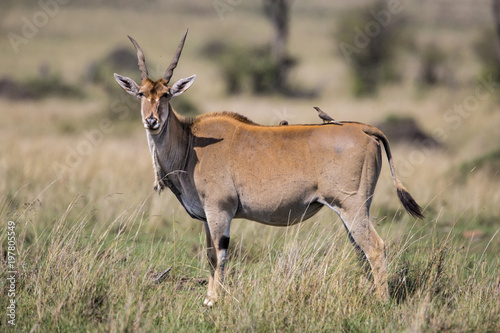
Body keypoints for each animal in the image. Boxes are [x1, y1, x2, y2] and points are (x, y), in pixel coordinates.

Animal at [112, 29, 422, 304]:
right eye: (141, 94)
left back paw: (381, 301)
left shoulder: (219, 211)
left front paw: (214, 300)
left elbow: (219, 256)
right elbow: (210, 255)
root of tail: (365, 129)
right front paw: (211, 298)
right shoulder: (207, 218)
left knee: (375, 248)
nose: (152, 121)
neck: (192, 143)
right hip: (350, 212)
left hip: (352, 207)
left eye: (166, 94)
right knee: (361, 251)